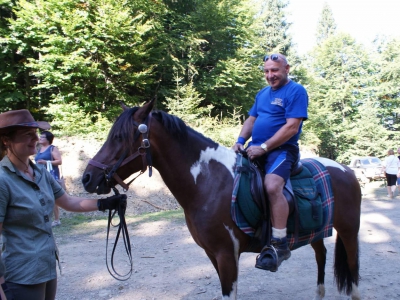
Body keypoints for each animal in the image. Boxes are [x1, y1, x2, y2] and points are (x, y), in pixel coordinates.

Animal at [82, 99, 362, 298]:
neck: (207, 183)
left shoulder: (227, 254)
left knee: (354, 269)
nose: (87, 177)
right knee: (321, 256)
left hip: (349, 231)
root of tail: (347, 170)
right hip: (315, 233)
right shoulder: (212, 254)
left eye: (119, 137)